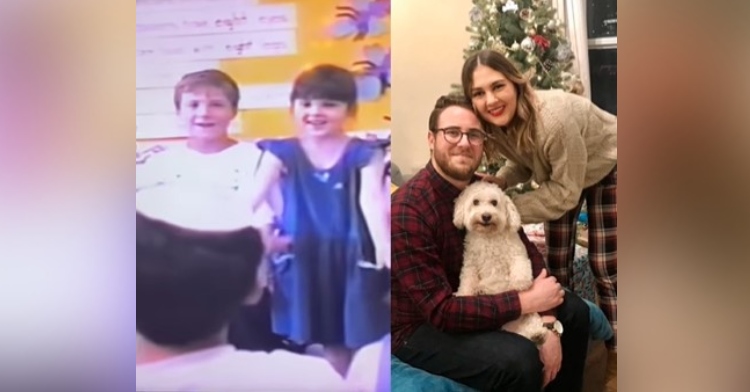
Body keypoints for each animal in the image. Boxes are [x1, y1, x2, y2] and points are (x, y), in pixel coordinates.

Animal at [456, 181, 548, 344]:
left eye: (494, 202)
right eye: (475, 202)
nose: (486, 216)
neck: (489, 236)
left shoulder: (517, 253)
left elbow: (520, 267)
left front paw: (520, 283)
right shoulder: (470, 263)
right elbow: (467, 280)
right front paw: (463, 294)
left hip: (530, 315)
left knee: (533, 324)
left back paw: (538, 334)